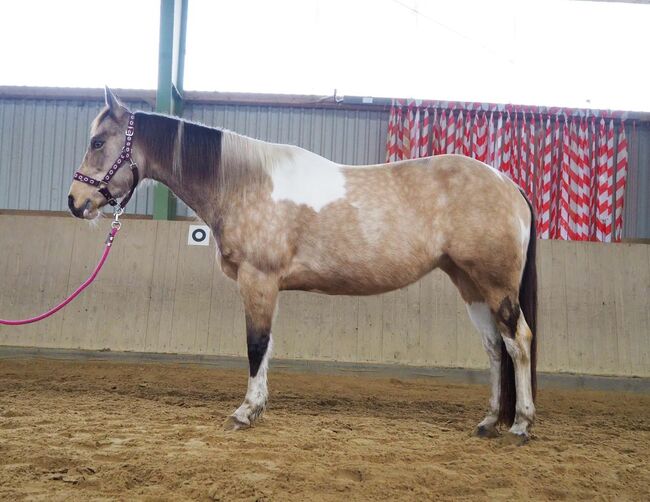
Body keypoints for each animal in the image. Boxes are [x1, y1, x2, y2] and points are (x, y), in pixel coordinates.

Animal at [68, 88, 537, 441]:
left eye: (97, 142)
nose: (75, 202)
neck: (245, 184)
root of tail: (508, 184)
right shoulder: (267, 285)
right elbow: (267, 346)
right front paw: (257, 408)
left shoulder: (258, 280)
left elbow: (256, 344)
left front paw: (245, 412)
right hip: (469, 283)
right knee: (494, 347)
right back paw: (488, 421)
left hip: (496, 284)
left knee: (518, 342)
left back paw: (521, 425)